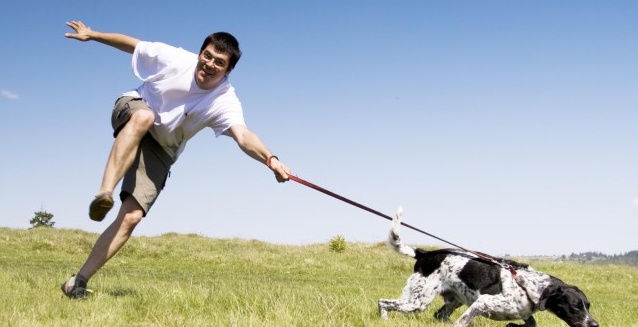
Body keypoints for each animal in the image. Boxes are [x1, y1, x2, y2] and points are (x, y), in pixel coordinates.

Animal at [380, 209, 600, 326]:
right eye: (575, 306)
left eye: (588, 306)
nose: (595, 324)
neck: (527, 286)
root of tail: (424, 253)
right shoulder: (482, 303)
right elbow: (463, 322)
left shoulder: (525, 316)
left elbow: (529, 323)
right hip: (417, 301)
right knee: (383, 302)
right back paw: (384, 319)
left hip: (451, 301)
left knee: (439, 315)